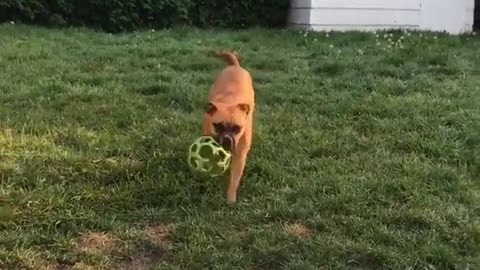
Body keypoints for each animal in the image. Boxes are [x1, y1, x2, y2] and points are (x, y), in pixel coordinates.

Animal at [202, 51, 255, 202]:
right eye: (218, 126)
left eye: (237, 128)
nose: (226, 140)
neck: (230, 101)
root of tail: (235, 66)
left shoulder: (240, 155)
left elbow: (235, 179)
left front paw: (230, 198)